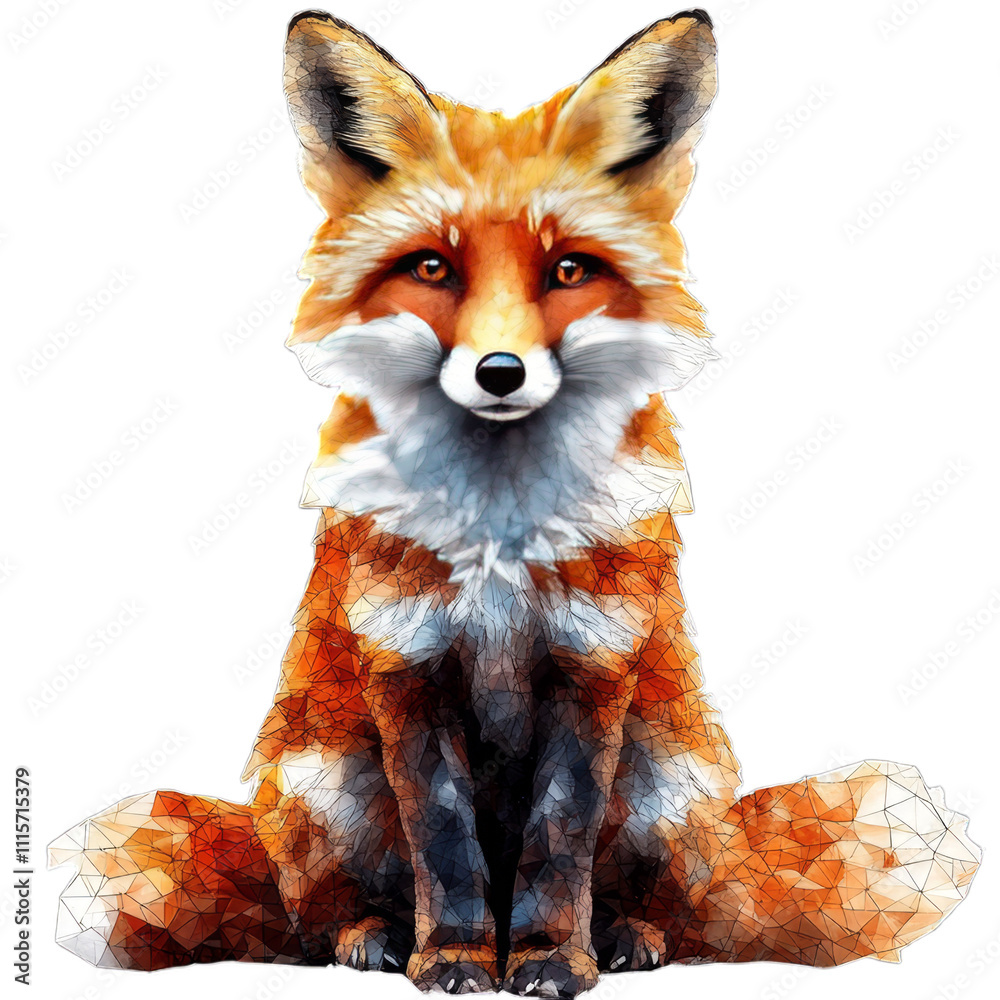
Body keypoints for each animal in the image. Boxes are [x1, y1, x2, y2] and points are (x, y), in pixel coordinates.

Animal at [51, 9, 979, 999]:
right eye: (432, 268)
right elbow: (446, 843)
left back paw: (627, 935)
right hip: (321, 779)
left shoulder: (592, 664)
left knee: (679, 915)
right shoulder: (407, 666)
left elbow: (556, 844)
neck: (498, 532)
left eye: (568, 271)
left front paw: (548, 958)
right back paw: (374, 935)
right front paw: (457, 957)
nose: (501, 373)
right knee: (311, 921)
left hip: (671, 779)